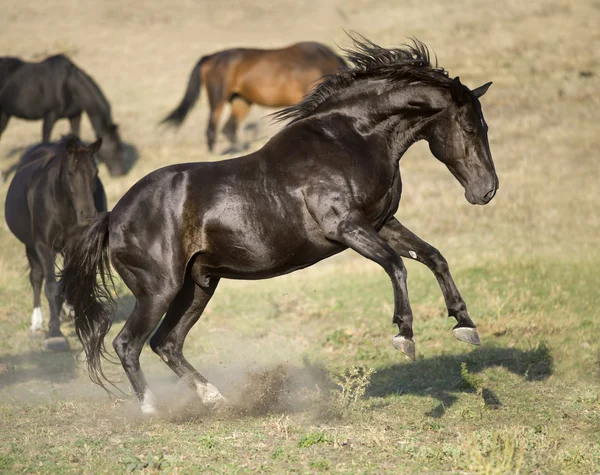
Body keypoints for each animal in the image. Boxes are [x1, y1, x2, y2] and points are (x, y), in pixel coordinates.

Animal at [5, 136, 106, 352]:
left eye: (95, 173)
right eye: (70, 173)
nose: (88, 215)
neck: (62, 205)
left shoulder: (75, 243)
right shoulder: (43, 246)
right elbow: (51, 287)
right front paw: (55, 334)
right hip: (31, 247)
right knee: (36, 277)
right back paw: (36, 324)